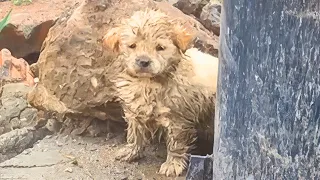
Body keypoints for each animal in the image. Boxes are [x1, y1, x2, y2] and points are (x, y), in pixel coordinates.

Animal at [102, 9, 218, 176]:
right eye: (132, 46)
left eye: (160, 47)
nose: (143, 61)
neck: (148, 83)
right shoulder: (135, 110)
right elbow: (134, 134)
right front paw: (131, 152)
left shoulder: (178, 119)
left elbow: (176, 144)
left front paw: (172, 164)